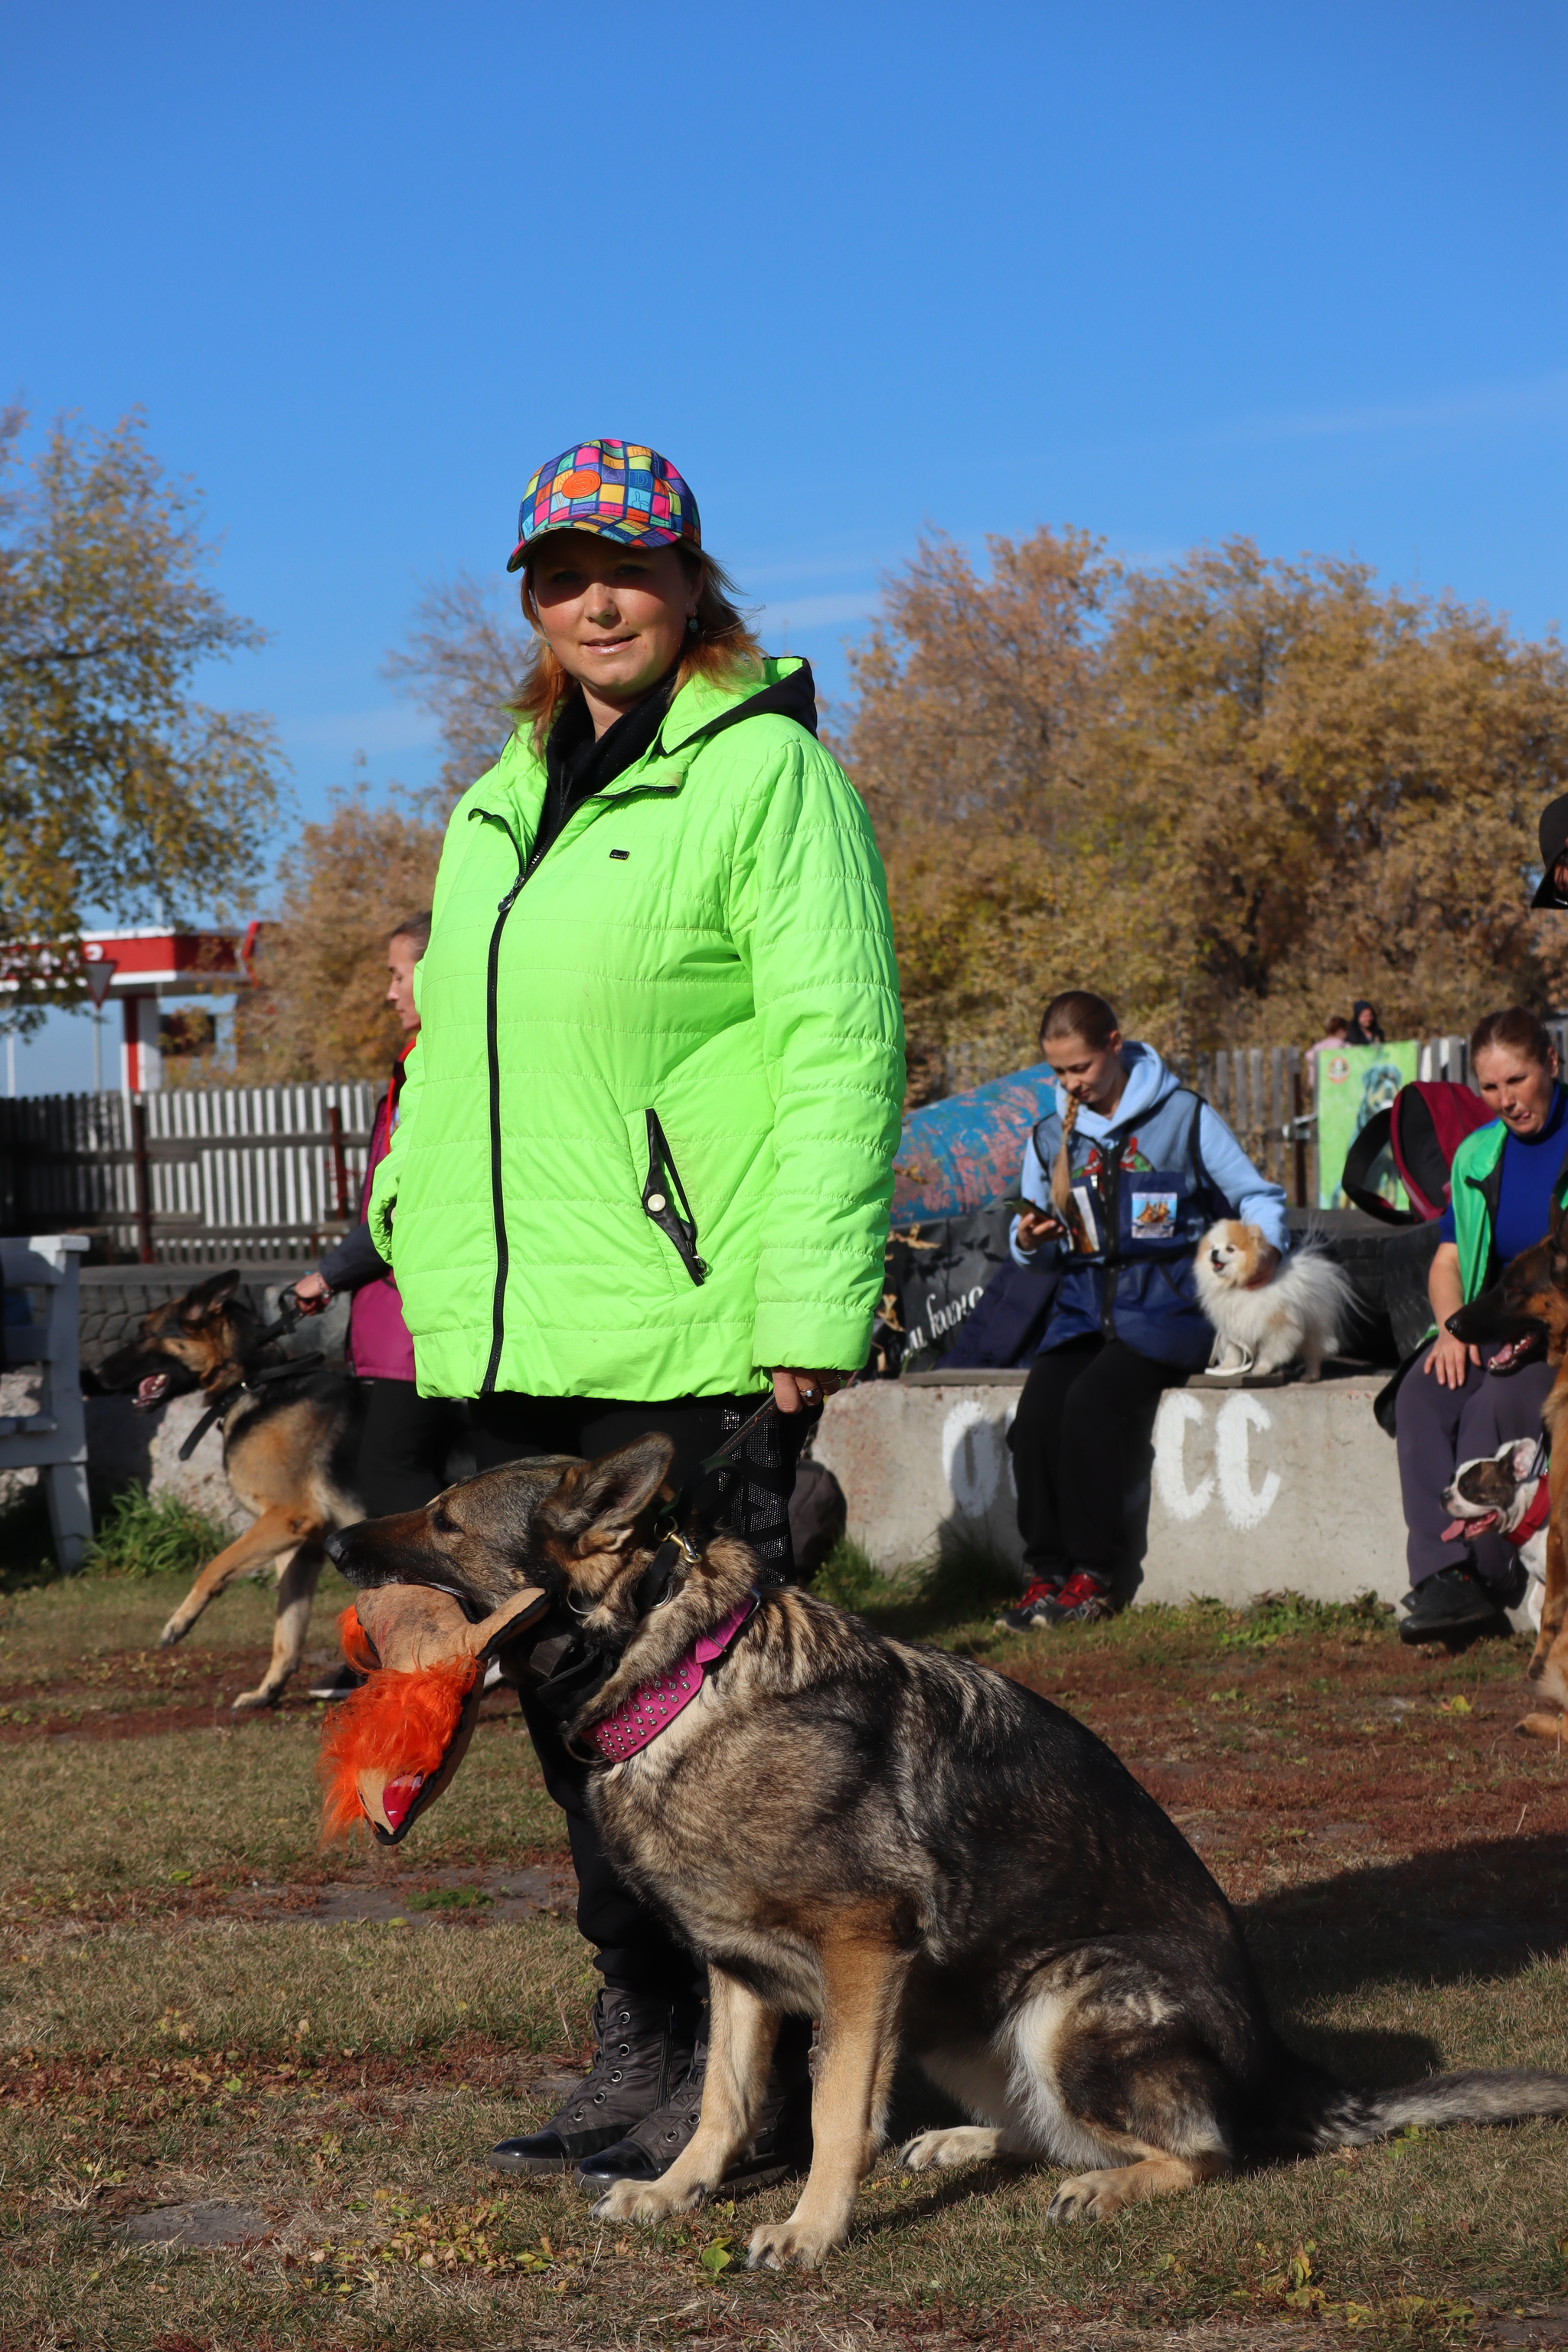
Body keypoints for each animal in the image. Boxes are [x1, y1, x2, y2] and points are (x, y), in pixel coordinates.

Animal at [97, 1269, 364, 1712]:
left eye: (146, 1332)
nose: (96, 1372)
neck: (248, 1382)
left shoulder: (287, 1519)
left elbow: (215, 1565)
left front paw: (180, 1621)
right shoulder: (303, 1546)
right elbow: (288, 1626)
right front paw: (267, 1691)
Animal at [324, 1439, 1560, 2267]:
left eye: (443, 1520)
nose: (329, 1539)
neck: (683, 1680)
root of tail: (1279, 2063)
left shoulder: (863, 1952)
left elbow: (832, 2113)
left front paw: (809, 2230)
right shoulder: (737, 1972)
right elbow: (724, 2100)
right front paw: (675, 2193)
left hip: (1066, 2000)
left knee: (1205, 2147)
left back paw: (1111, 2190)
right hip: (956, 2016)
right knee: (1043, 2131)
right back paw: (966, 2144)